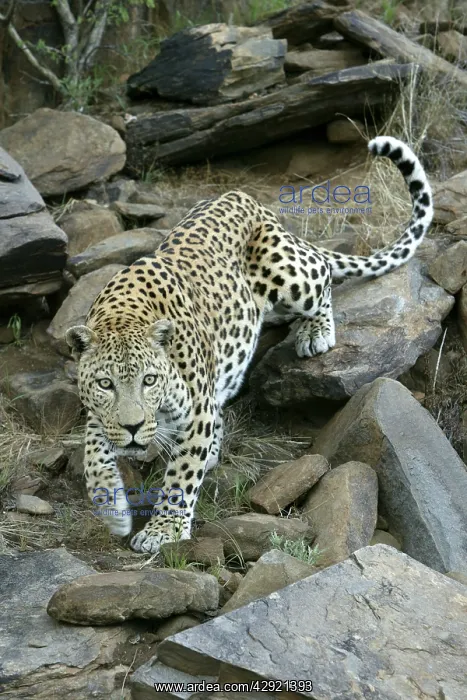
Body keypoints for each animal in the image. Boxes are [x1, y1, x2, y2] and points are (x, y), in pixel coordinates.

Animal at [66, 136, 433, 554]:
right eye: (105, 384)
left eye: (149, 380)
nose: (133, 427)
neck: (122, 316)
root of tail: (245, 198)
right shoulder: (101, 414)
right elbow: (93, 452)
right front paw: (112, 509)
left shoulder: (195, 410)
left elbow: (180, 477)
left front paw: (164, 530)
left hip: (289, 272)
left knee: (322, 272)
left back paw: (315, 333)